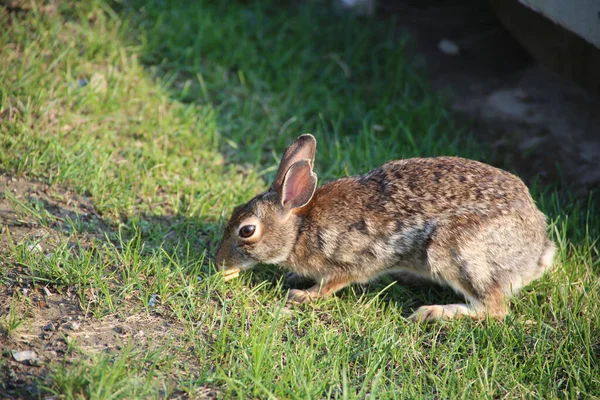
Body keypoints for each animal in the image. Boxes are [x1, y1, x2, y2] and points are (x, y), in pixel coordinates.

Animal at [214, 134, 552, 322]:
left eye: (247, 231)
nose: (219, 264)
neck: (299, 230)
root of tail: (537, 251)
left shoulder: (355, 257)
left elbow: (334, 283)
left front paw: (303, 295)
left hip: (456, 250)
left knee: (494, 308)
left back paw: (434, 314)